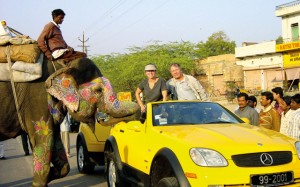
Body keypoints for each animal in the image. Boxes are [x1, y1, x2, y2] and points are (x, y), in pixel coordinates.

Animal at [0, 56, 138, 186]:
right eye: (98, 91)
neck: (63, 66)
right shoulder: (37, 102)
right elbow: (42, 140)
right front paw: (39, 181)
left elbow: (58, 151)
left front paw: (50, 175)